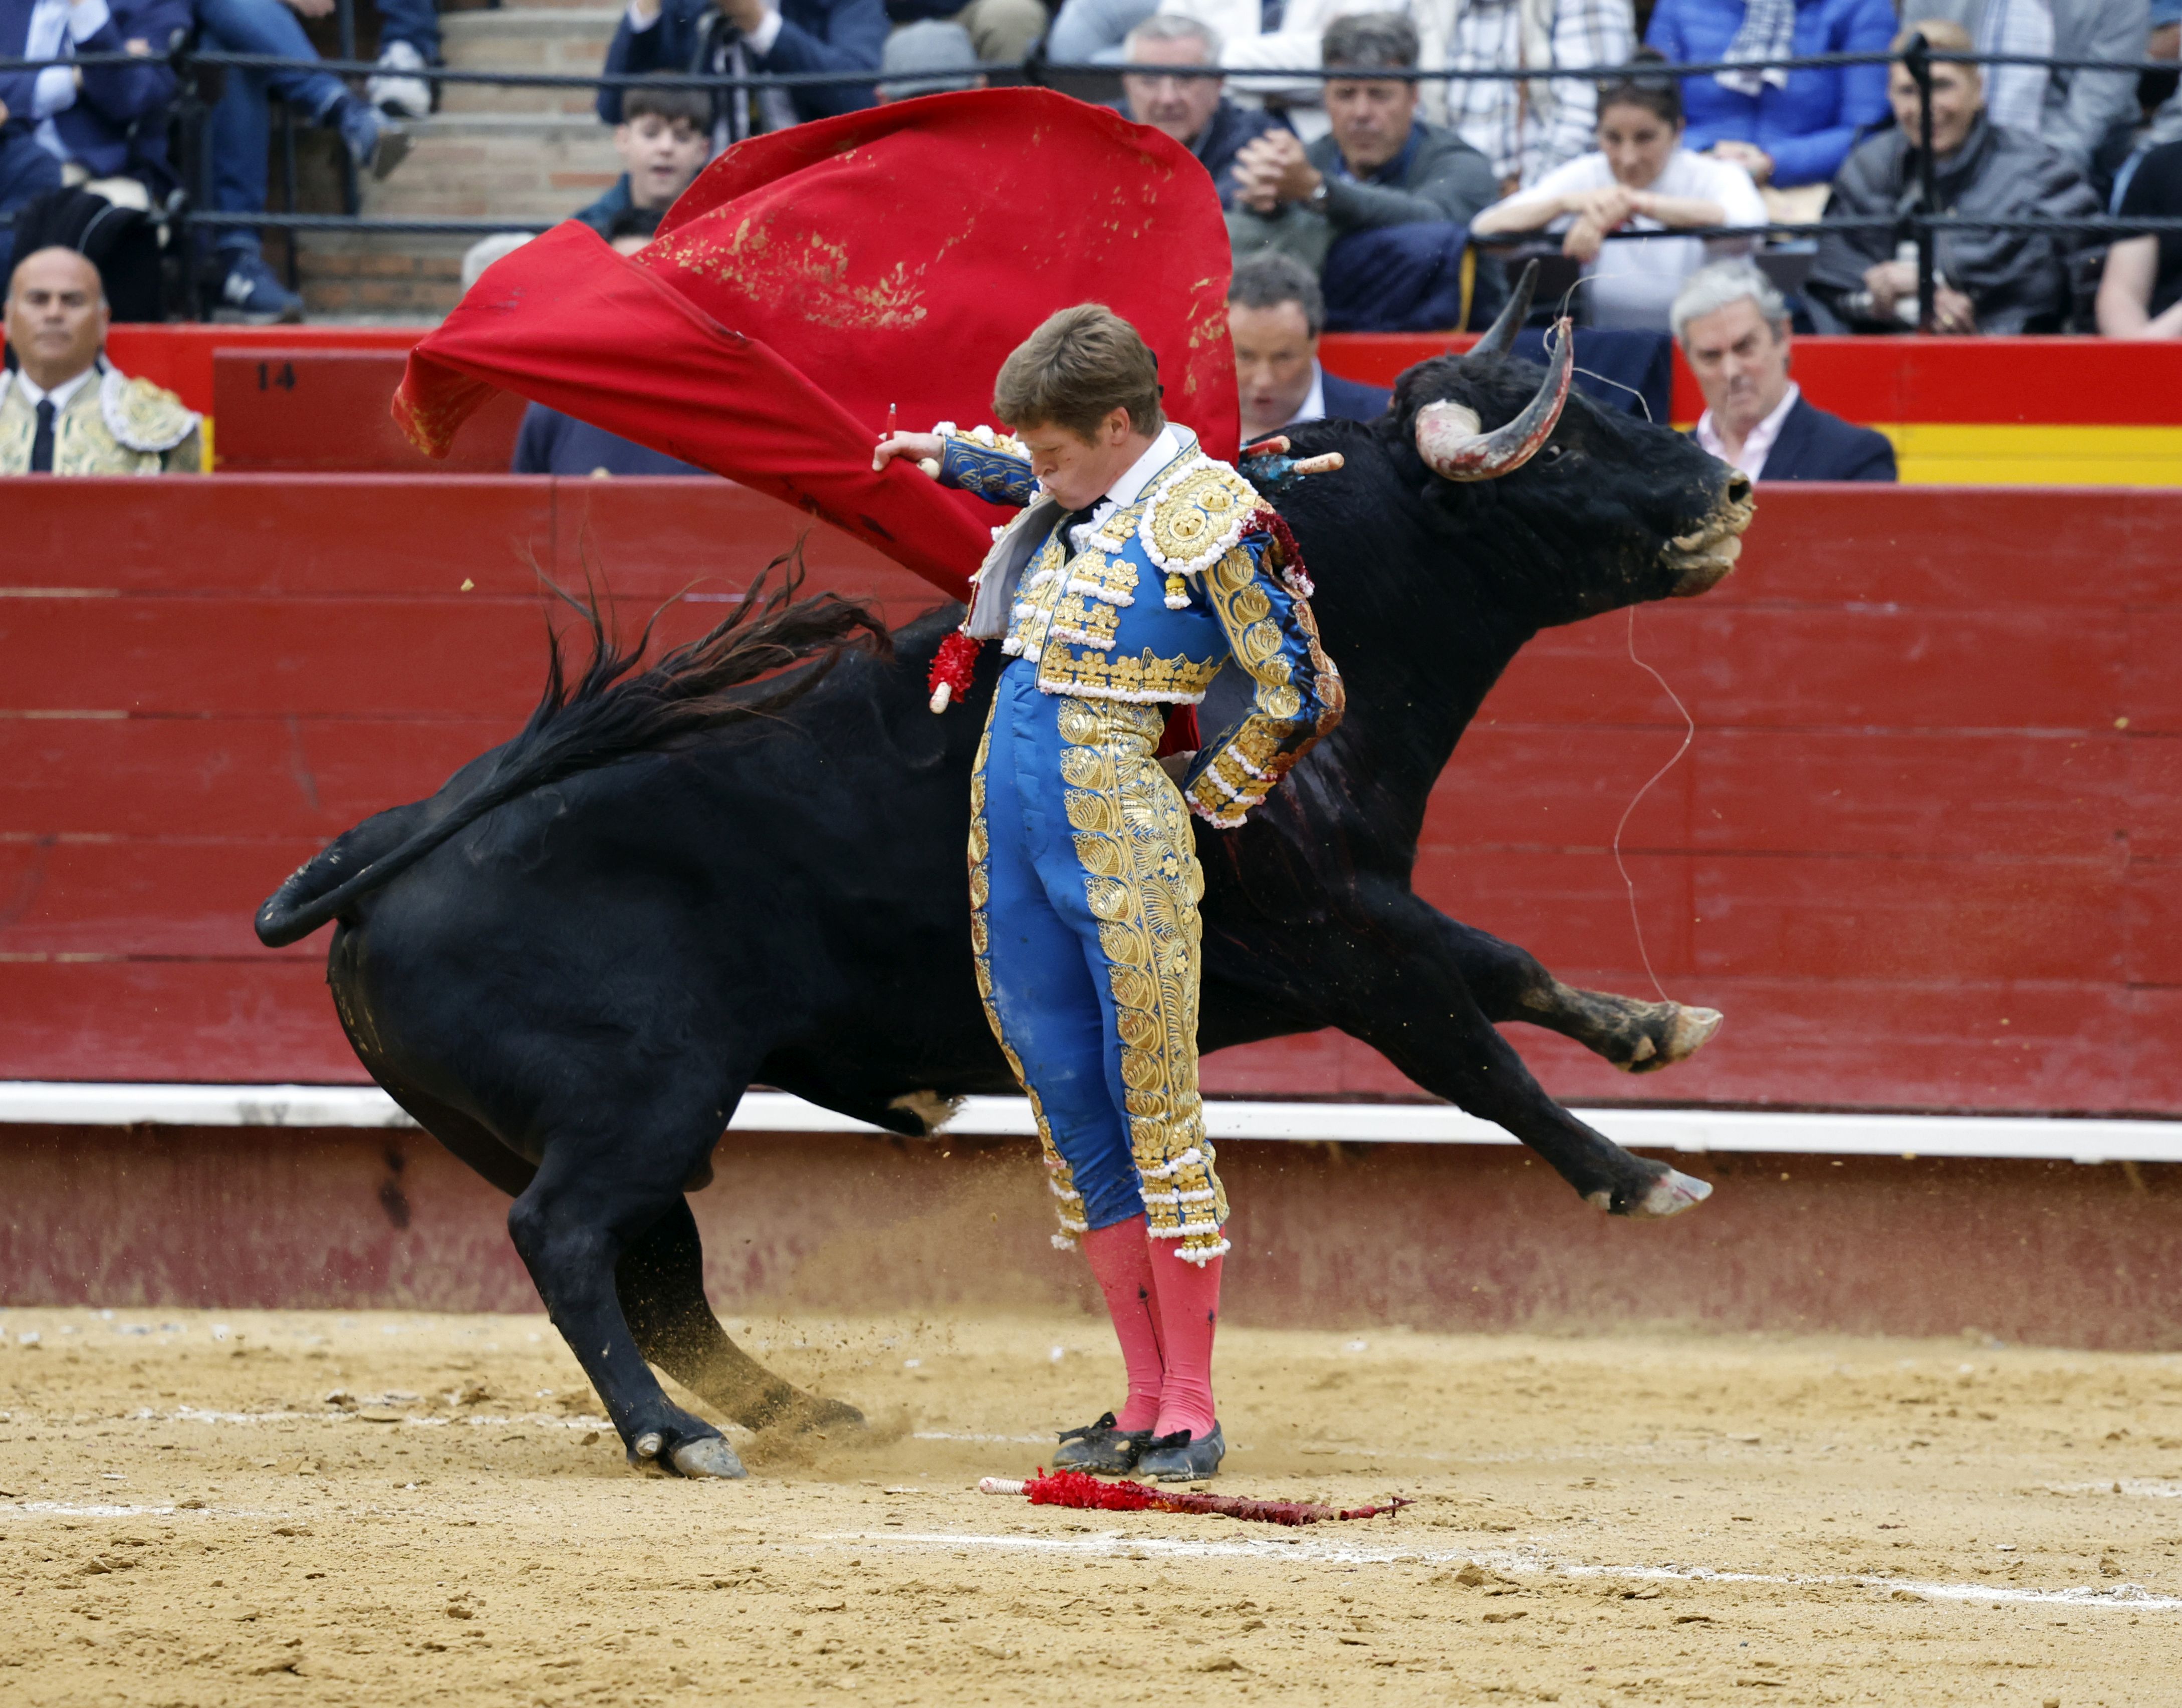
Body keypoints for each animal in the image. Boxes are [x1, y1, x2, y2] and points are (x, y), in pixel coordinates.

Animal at [255, 338, 1754, 1483]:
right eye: (1567, 448)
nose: (1729, 482)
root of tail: (389, 855)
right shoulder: (1342, 935)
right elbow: (1481, 1046)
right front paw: (1641, 1176)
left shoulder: (1359, 919)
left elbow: (1506, 966)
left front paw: (1655, 1029)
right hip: (645, 1097)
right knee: (568, 1241)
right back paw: (673, 1439)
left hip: (586, 1125)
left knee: (655, 1274)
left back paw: (801, 1413)